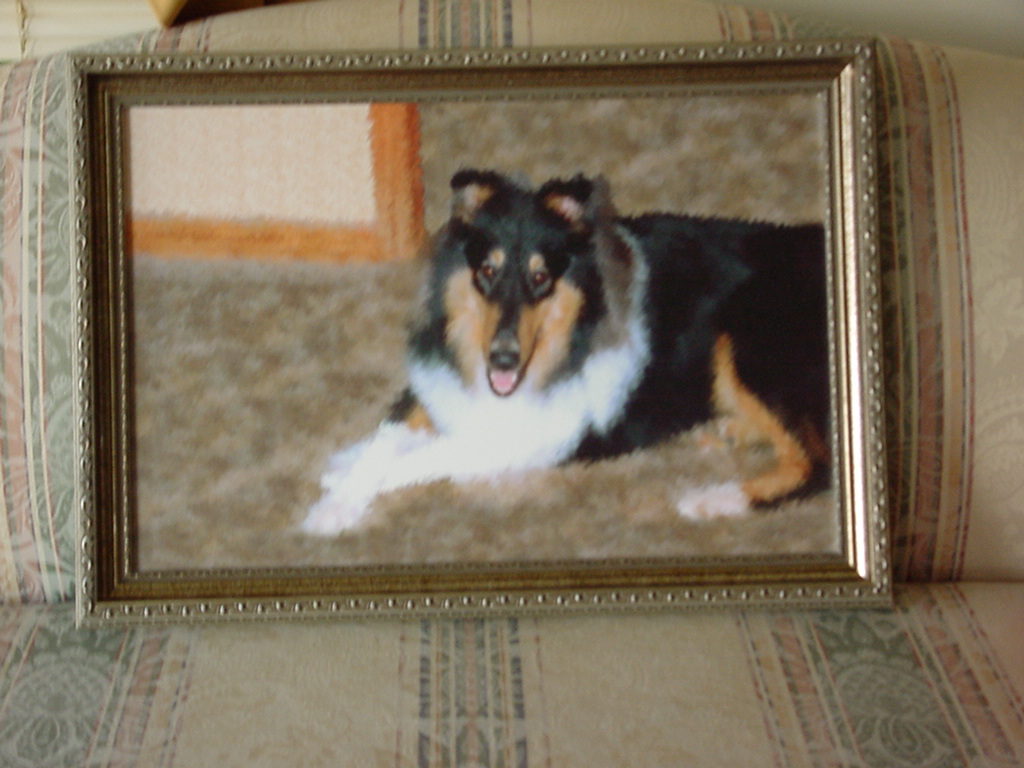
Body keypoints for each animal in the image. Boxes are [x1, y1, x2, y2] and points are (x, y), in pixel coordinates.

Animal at [301, 169, 830, 535]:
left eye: (541, 277)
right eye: (487, 271)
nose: (503, 360)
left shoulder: (524, 439)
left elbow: (421, 455)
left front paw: (335, 496)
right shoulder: (440, 383)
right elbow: (386, 439)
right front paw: (336, 495)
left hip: (747, 338)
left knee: (817, 464)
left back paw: (714, 499)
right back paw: (727, 430)